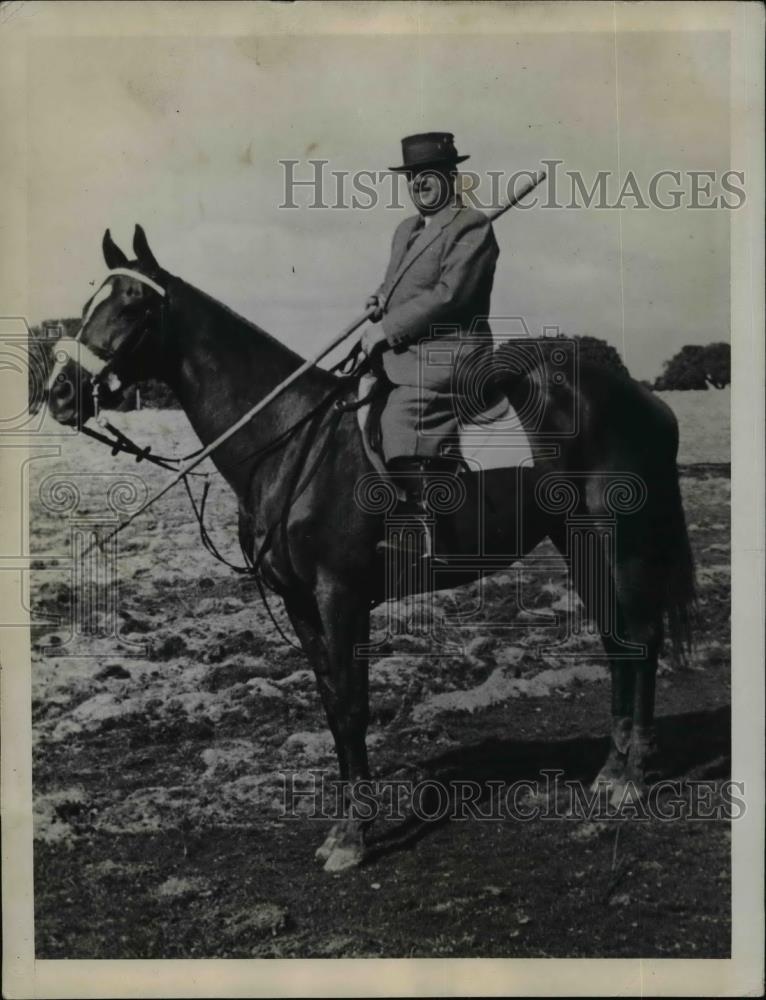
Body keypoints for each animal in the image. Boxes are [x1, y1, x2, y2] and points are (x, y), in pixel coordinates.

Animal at [46, 230, 696, 872]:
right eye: (89, 301)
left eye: (132, 302)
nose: (59, 394)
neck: (292, 439)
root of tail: (644, 399)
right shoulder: (301, 604)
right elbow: (334, 706)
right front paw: (344, 825)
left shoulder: (341, 597)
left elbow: (355, 707)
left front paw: (353, 836)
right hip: (578, 539)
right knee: (616, 640)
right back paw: (610, 770)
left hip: (621, 539)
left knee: (640, 637)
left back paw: (632, 777)